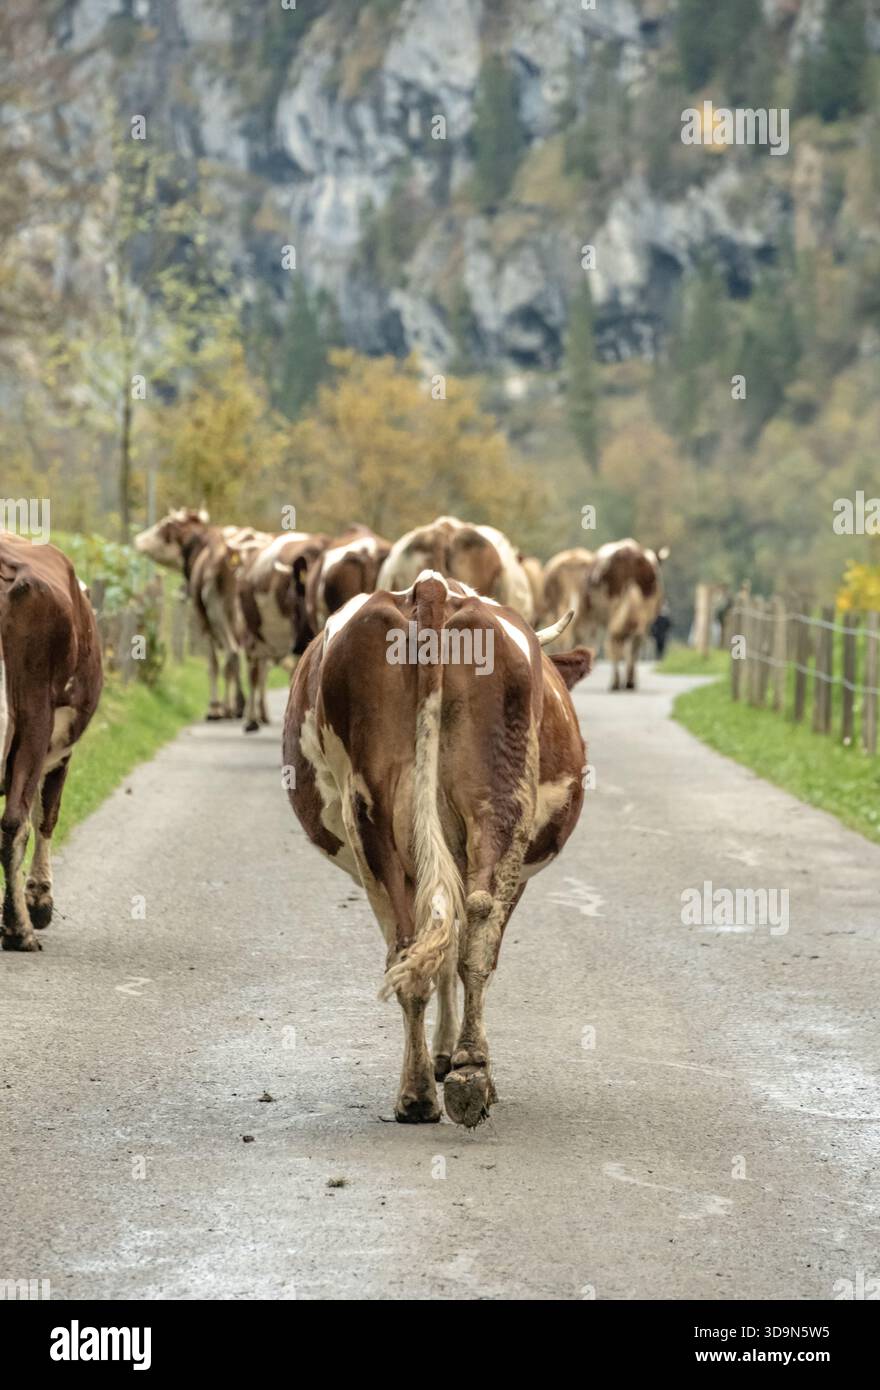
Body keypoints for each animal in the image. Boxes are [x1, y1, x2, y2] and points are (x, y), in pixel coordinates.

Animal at [134, 509, 249, 720]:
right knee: (237, 654)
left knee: (232, 651)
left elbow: (213, 664)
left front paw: (215, 708)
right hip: (238, 615)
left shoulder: (203, 619)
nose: (137, 539)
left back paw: (236, 705)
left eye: (162, 525)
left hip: (215, 611)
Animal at [283, 570, 590, 1128]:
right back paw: (461, 1076)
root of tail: (432, 590)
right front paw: (451, 1055)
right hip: (497, 810)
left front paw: (444, 1057)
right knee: (472, 936)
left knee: (415, 946)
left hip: (378, 816)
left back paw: (428, 1088)